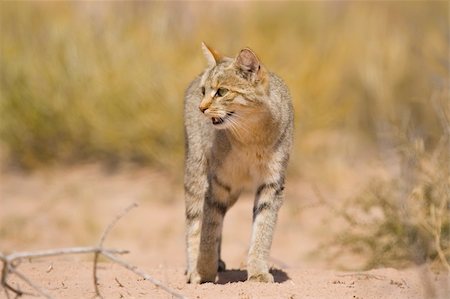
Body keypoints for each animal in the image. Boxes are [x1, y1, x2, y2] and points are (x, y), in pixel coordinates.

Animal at [184, 43, 294, 284]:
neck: (251, 137)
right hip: (197, 173)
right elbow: (208, 229)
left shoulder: (272, 183)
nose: (201, 107)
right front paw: (203, 272)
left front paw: (258, 271)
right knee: (194, 221)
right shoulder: (217, 182)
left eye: (222, 92)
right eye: (204, 91)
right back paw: (192, 267)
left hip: (232, 191)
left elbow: (263, 228)